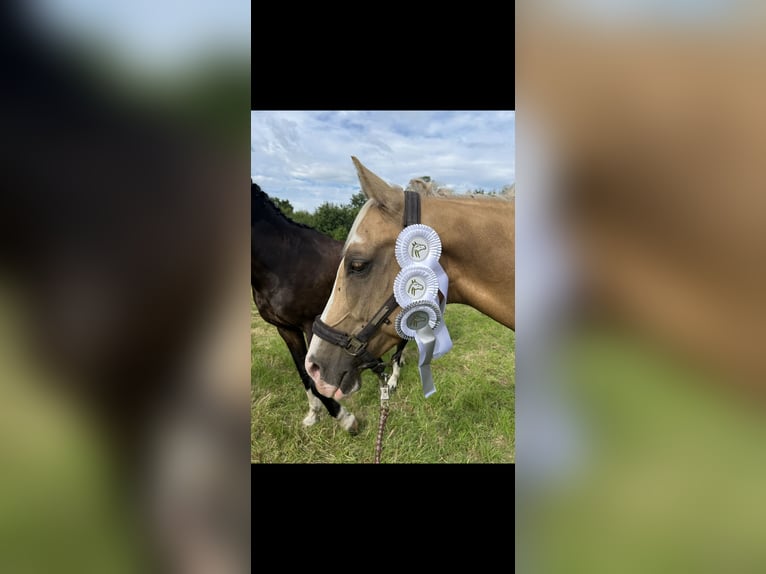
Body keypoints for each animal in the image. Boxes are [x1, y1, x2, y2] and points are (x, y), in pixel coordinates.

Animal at [251, 182, 406, 432]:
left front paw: (345, 418)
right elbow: (304, 373)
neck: (284, 260)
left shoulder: (310, 325)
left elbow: (315, 375)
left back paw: (392, 379)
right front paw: (313, 414)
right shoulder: (286, 329)